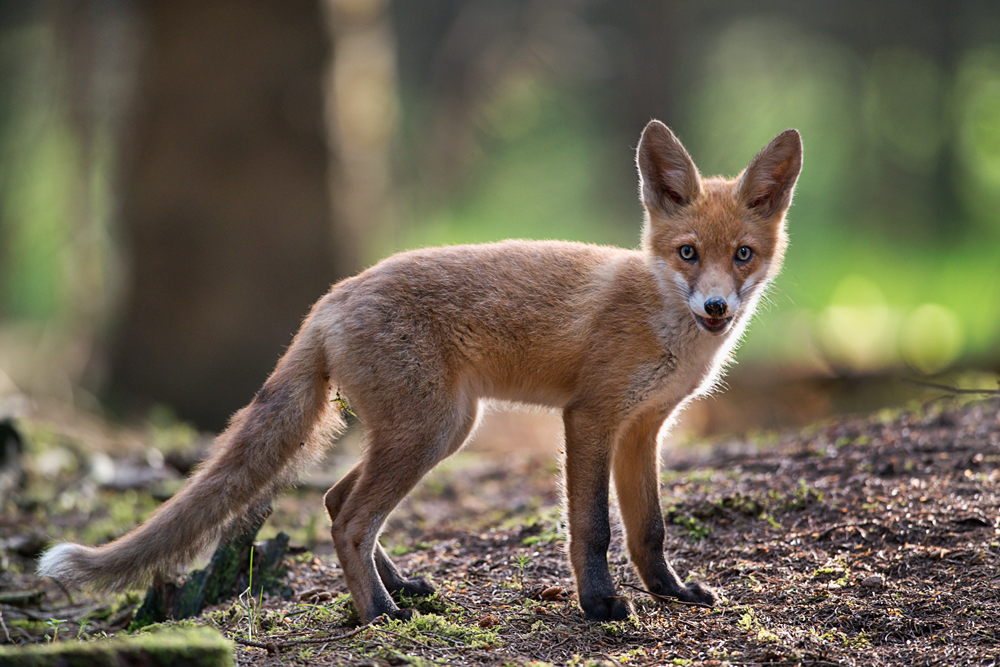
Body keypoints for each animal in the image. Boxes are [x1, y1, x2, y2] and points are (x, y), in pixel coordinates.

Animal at [37, 121, 804, 628]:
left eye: (741, 254)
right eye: (686, 253)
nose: (716, 308)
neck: (661, 319)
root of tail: (333, 295)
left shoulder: (642, 429)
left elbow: (650, 530)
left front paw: (671, 593)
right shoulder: (589, 417)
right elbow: (591, 528)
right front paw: (598, 605)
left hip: (438, 428)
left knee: (337, 501)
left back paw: (398, 589)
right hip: (432, 430)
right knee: (351, 517)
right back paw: (378, 613)